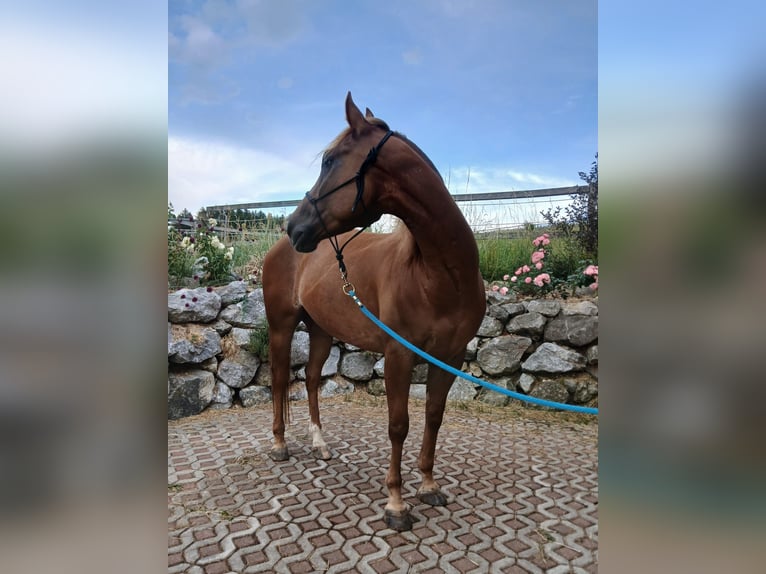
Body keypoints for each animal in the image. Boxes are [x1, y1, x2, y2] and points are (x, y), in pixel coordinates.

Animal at [261, 92, 486, 531]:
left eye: (330, 161)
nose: (294, 226)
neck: (436, 276)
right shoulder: (399, 356)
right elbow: (399, 426)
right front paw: (396, 504)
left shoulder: (449, 357)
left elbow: (433, 416)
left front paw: (429, 485)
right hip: (281, 326)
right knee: (280, 381)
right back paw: (279, 444)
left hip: (321, 330)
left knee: (310, 379)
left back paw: (319, 444)